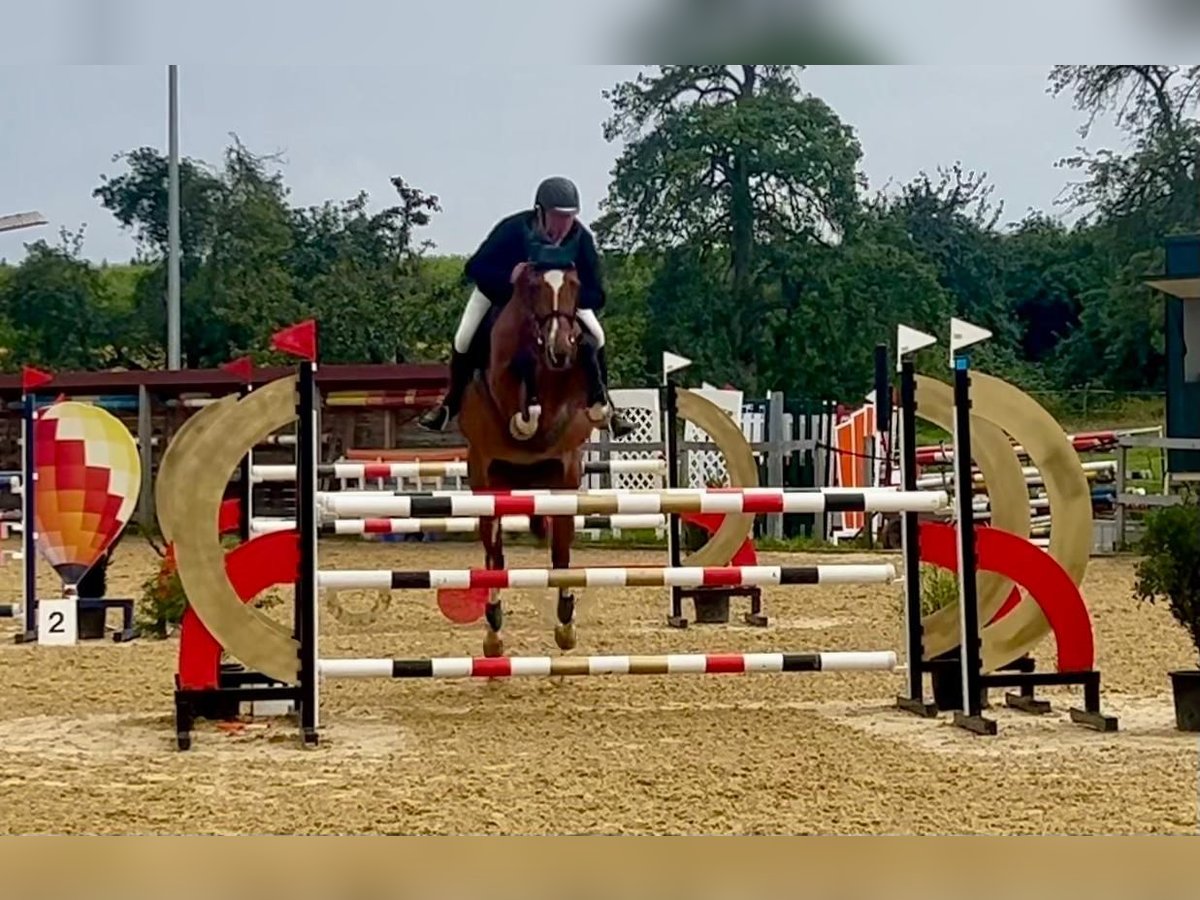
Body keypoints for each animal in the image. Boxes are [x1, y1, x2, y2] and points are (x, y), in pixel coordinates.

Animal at [457, 259, 609, 658]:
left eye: (575, 285)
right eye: (535, 288)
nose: (559, 349)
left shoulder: (567, 458)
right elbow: (523, 398)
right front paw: (526, 418)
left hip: (558, 478)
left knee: (554, 545)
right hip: (486, 479)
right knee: (494, 554)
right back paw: (493, 631)